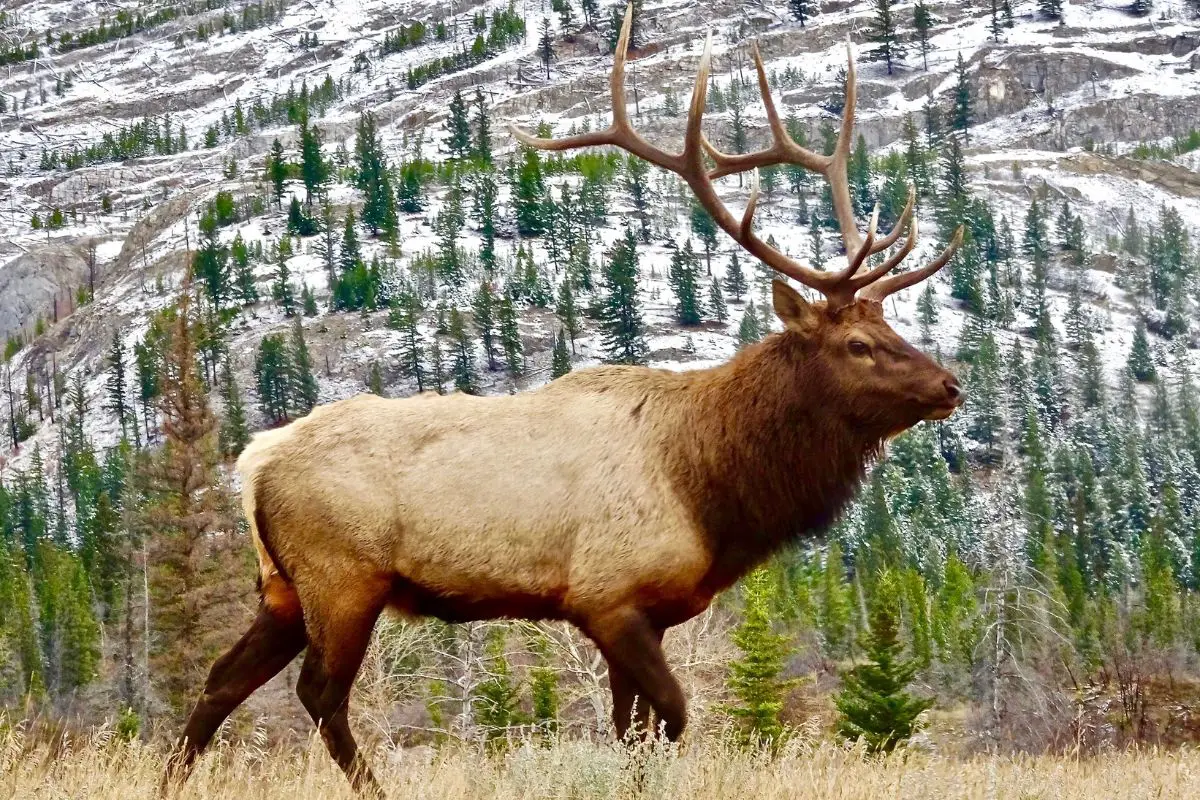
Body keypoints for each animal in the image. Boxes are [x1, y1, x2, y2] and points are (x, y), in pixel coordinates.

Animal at [162, 7, 964, 800]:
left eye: (892, 326)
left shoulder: (652, 613)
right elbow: (671, 717)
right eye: (858, 343)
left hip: (282, 589)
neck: (710, 489)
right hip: (343, 576)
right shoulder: (606, 596)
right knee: (319, 695)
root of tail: (254, 462)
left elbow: (632, 729)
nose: (949, 385)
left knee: (220, 681)